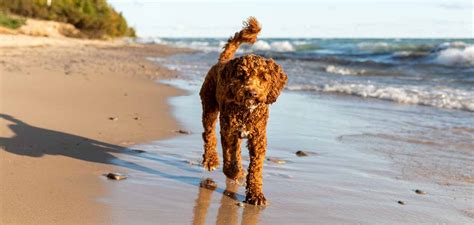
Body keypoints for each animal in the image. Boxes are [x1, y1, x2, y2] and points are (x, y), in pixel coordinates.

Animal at [199, 17, 286, 206]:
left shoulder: (258, 138)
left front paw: (256, 194)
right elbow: (229, 156)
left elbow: (256, 167)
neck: (247, 111)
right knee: (208, 134)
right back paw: (211, 160)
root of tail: (222, 62)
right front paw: (233, 171)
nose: (251, 93)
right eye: (241, 75)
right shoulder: (228, 131)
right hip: (209, 107)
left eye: (263, 77)